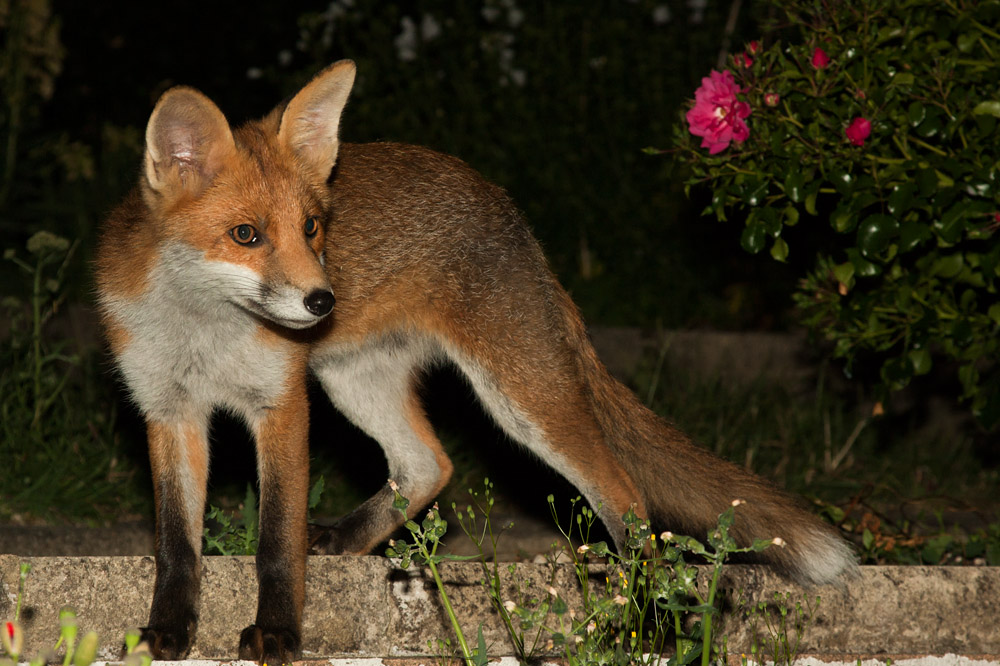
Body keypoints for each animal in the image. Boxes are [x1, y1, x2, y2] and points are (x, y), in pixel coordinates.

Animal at [96, 60, 855, 663]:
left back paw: (647, 620)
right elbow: (176, 544)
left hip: (519, 397)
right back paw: (346, 538)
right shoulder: (168, 410)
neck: (203, 333)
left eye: (312, 228)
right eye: (246, 235)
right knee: (430, 464)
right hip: (352, 381)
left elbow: (276, 542)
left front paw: (279, 635)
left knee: (624, 496)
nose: (321, 300)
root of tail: (503, 203)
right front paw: (169, 630)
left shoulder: (280, 404)